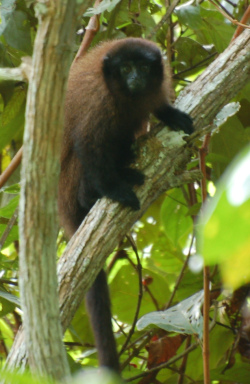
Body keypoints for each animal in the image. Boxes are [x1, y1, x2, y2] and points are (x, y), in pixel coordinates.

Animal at [58, 37, 193, 374]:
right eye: (126, 68)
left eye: (143, 68)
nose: (134, 78)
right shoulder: (98, 99)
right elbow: (88, 143)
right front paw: (110, 189)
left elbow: (157, 106)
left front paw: (169, 114)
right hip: (69, 183)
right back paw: (94, 193)